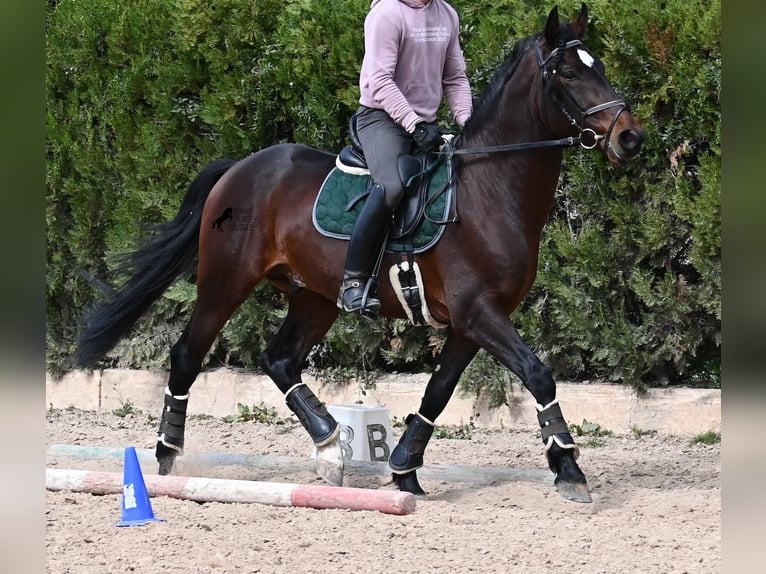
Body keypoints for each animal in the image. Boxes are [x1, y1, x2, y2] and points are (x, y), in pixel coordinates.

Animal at [76, 4, 640, 504]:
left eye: (600, 67)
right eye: (568, 73)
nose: (630, 138)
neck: (490, 188)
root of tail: (238, 168)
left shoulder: (471, 322)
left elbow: (438, 392)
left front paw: (404, 469)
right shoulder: (478, 313)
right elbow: (537, 373)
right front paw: (569, 469)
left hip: (314, 297)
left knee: (280, 360)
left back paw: (329, 447)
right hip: (225, 282)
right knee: (188, 355)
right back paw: (168, 455)